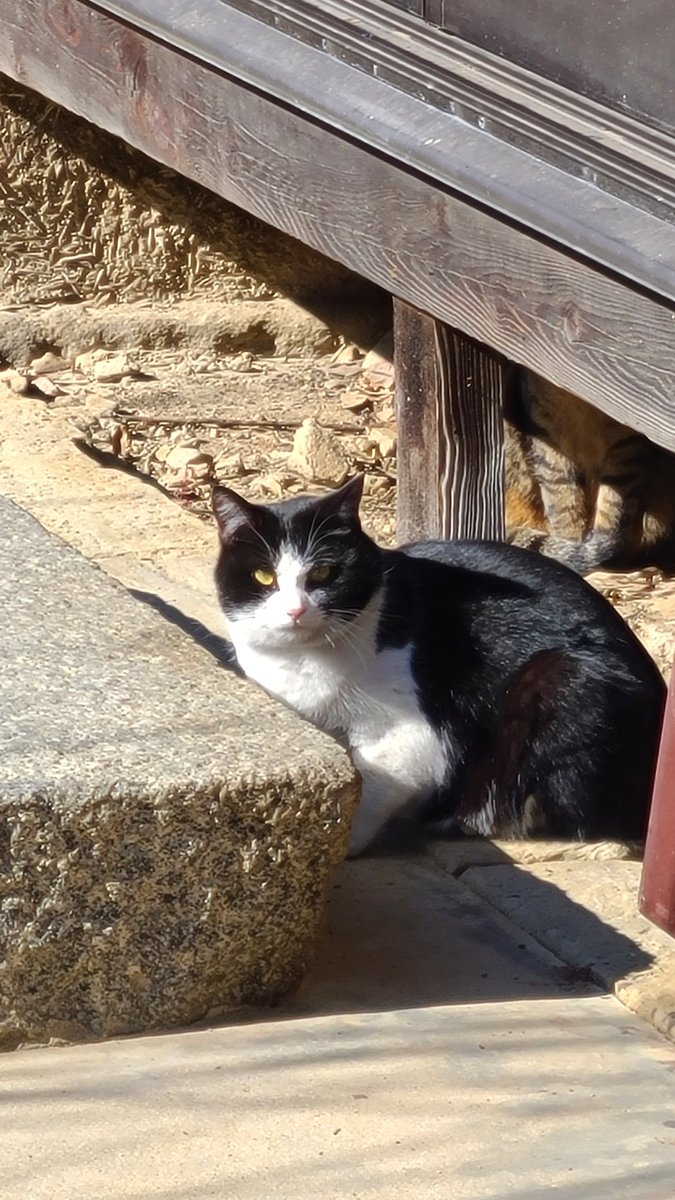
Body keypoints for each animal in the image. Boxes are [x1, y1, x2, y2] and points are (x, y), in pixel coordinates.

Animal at [211, 472, 662, 859]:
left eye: (322, 572)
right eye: (264, 576)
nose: (295, 610)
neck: (302, 662)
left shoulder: (414, 739)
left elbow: (372, 788)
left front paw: (339, 848)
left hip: (565, 679)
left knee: (600, 831)